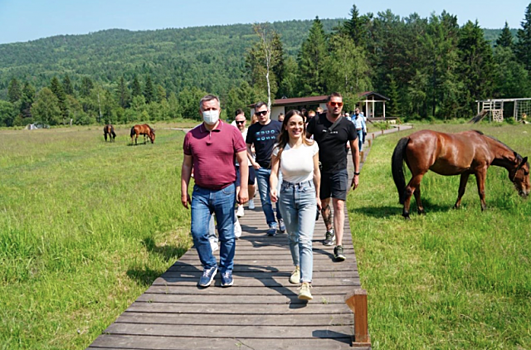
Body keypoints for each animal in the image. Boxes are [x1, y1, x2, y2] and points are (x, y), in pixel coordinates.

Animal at [392, 130, 528, 219]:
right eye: (526, 172)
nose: (526, 193)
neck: (486, 144)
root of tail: (409, 137)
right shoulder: (481, 170)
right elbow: (481, 191)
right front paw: (484, 208)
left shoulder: (465, 172)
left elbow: (461, 190)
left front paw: (456, 207)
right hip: (419, 173)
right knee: (409, 189)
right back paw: (406, 214)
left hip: (416, 173)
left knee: (417, 191)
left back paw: (422, 211)